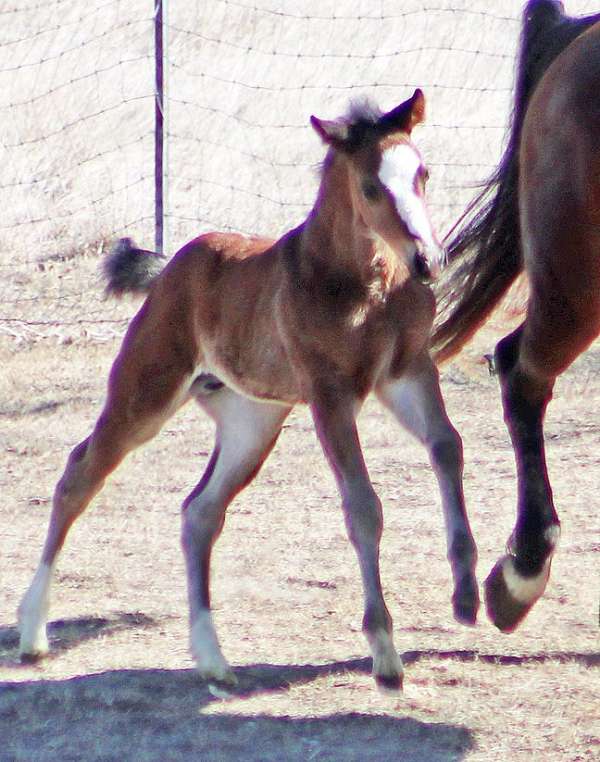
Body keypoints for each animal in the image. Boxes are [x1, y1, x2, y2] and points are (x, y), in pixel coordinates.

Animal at [17, 89, 478, 688]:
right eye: (371, 187)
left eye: (422, 173)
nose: (428, 260)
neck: (365, 284)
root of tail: (170, 267)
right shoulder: (330, 395)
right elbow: (363, 505)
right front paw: (384, 652)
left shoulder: (407, 372)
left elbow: (447, 445)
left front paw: (468, 593)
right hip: (146, 390)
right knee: (79, 475)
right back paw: (33, 633)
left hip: (250, 424)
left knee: (200, 512)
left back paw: (213, 659)